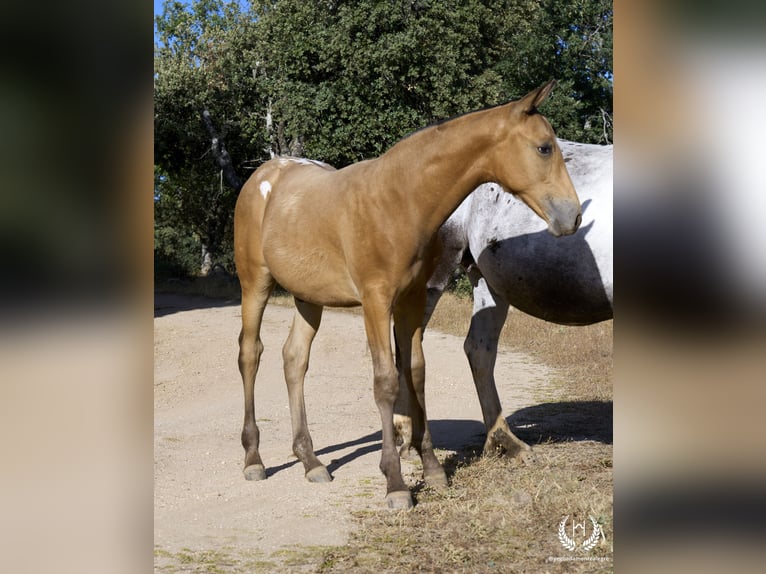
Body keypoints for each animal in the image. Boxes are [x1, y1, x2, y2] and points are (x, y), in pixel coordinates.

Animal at [234, 79, 584, 510]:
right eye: (544, 147)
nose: (572, 216)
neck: (400, 201)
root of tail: (264, 175)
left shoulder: (413, 300)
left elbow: (414, 372)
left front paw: (432, 469)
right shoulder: (376, 302)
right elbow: (386, 381)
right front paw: (396, 483)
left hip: (308, 297)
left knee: (294, 359)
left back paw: (311, 460)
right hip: (255, 284)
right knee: (250, 354)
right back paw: (254, 458)